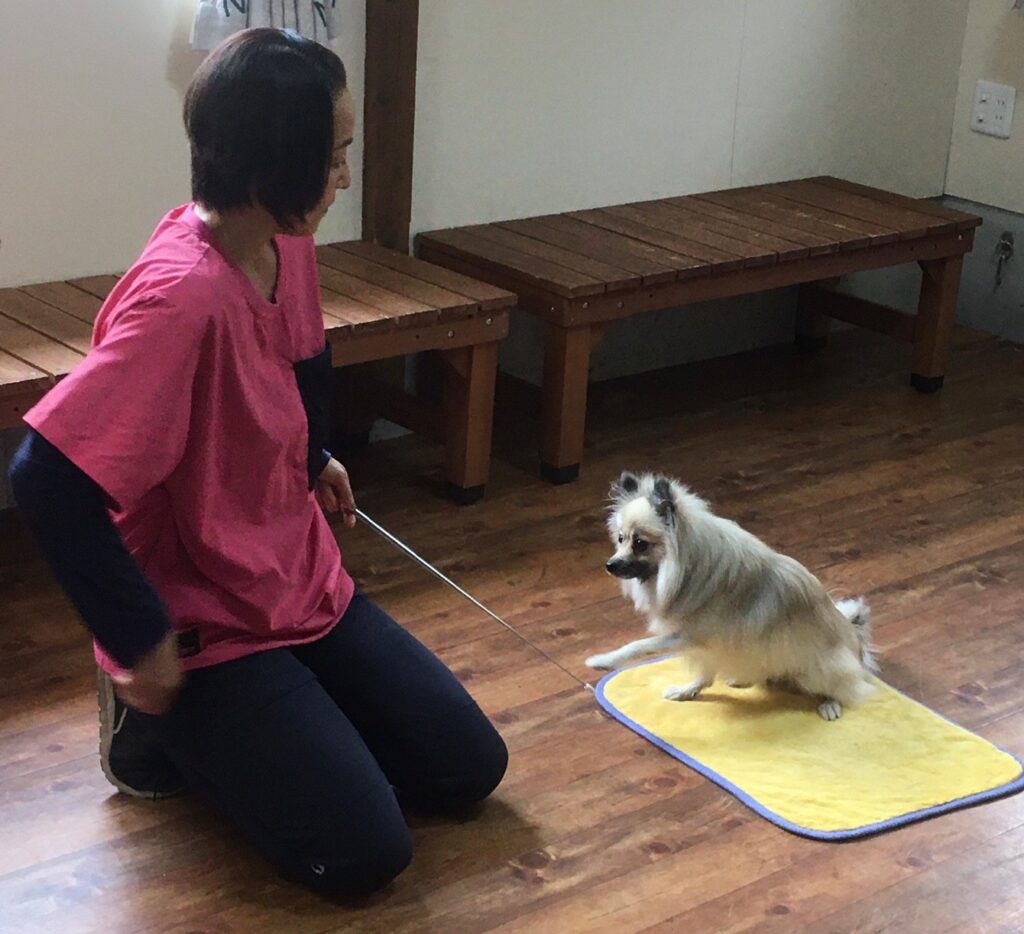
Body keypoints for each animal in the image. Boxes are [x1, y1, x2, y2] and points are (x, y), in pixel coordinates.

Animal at [585, 472, 877, 721]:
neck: (687, 567)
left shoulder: (690, 635)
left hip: (815, 669)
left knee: (847, 687)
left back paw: (830, 703)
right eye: (620, 539)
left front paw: (603, 661)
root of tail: (856, 641)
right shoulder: (703, 641)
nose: (610, 565)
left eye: (640, 544)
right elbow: (702, 672)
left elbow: (638, 645)